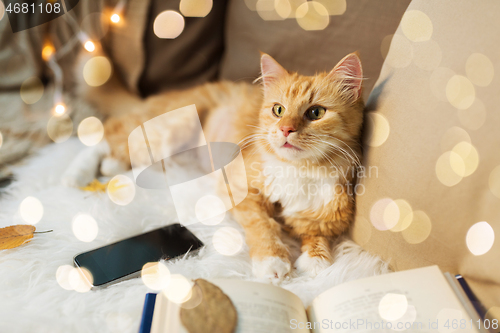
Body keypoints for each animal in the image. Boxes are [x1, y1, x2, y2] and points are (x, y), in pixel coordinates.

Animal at [64, 53, 366, 282]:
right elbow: (263, 226)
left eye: (316, 113)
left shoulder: (328, 213)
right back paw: (79, 174)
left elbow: (316, 234)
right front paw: (273, 262)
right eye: (278, 110)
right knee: (107, 136)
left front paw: (316, 259)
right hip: (168, 129)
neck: (299, 170)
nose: (285, 129)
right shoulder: (242, 191)